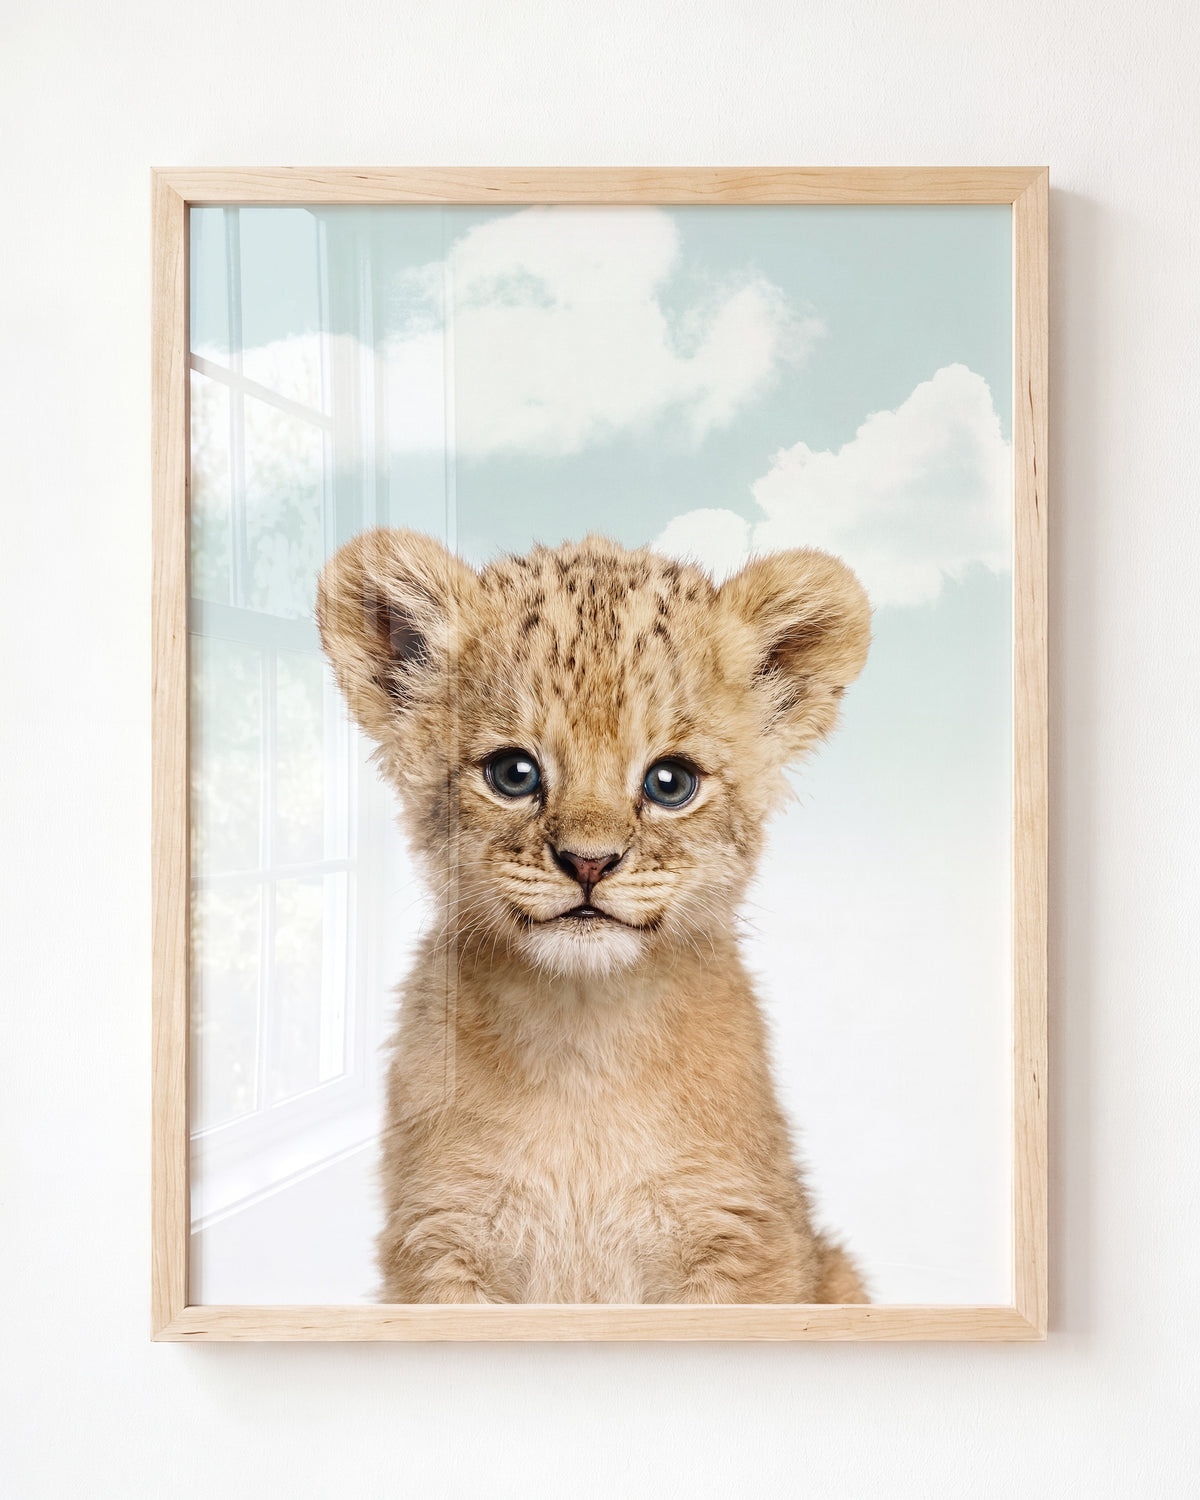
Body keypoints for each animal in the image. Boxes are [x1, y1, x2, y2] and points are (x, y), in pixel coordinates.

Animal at [317, 529, 871, 1303]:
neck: (582, 1043)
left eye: (670, 782)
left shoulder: (742, 1237)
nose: (588, 863)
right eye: (513, 774)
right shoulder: (440, 1239)